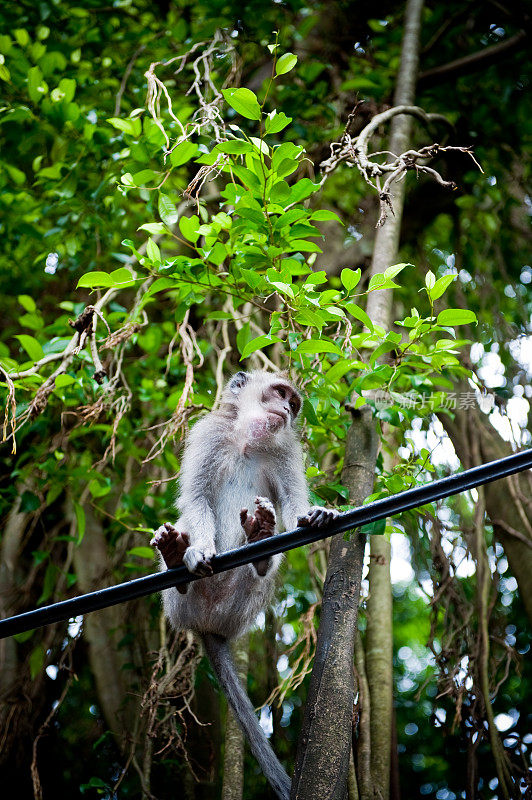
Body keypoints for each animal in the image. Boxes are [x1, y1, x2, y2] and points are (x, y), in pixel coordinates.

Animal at [152, 370, 338, 800]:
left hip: (241, 607)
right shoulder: (208, 435)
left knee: (269, 554)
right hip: (177, 609)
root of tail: (207, 626)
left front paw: (314, 514)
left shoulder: (285, 454)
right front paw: (197, 551)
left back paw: (261, 545)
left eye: (293, 404)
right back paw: (176, 557)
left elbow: (293, 506)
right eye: (281, 393)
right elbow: (196, 498)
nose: (286, 408)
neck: (248, 441)